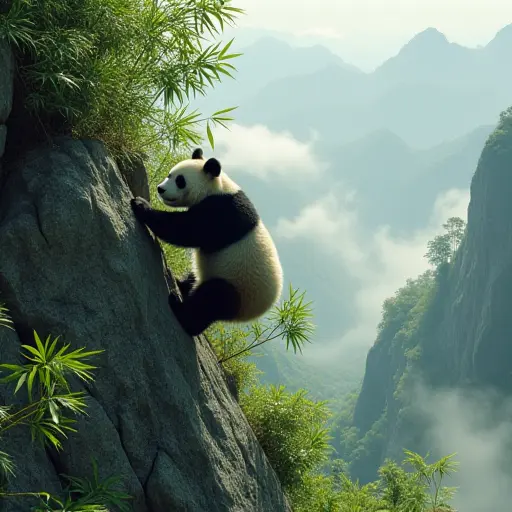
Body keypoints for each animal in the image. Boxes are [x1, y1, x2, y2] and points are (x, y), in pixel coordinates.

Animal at [130, 147, 284, 336]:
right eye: (169, 174)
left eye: (180, 181)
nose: (160, 189)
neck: (216, 187)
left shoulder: (221, 213)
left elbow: (186, 230)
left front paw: (141, 204)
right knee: (196, 280)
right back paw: (181, 284)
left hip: (239, 290)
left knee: (212, 299)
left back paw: (180, 309)